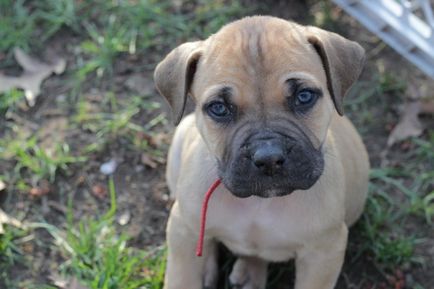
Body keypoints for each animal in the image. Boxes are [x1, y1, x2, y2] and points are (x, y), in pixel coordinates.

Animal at [154, 15, 368, 288]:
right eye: (219, 108)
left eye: (304, 96)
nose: (268, 158)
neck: (260, 204)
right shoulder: (183, 229)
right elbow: (182, 276)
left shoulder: (323, 252)